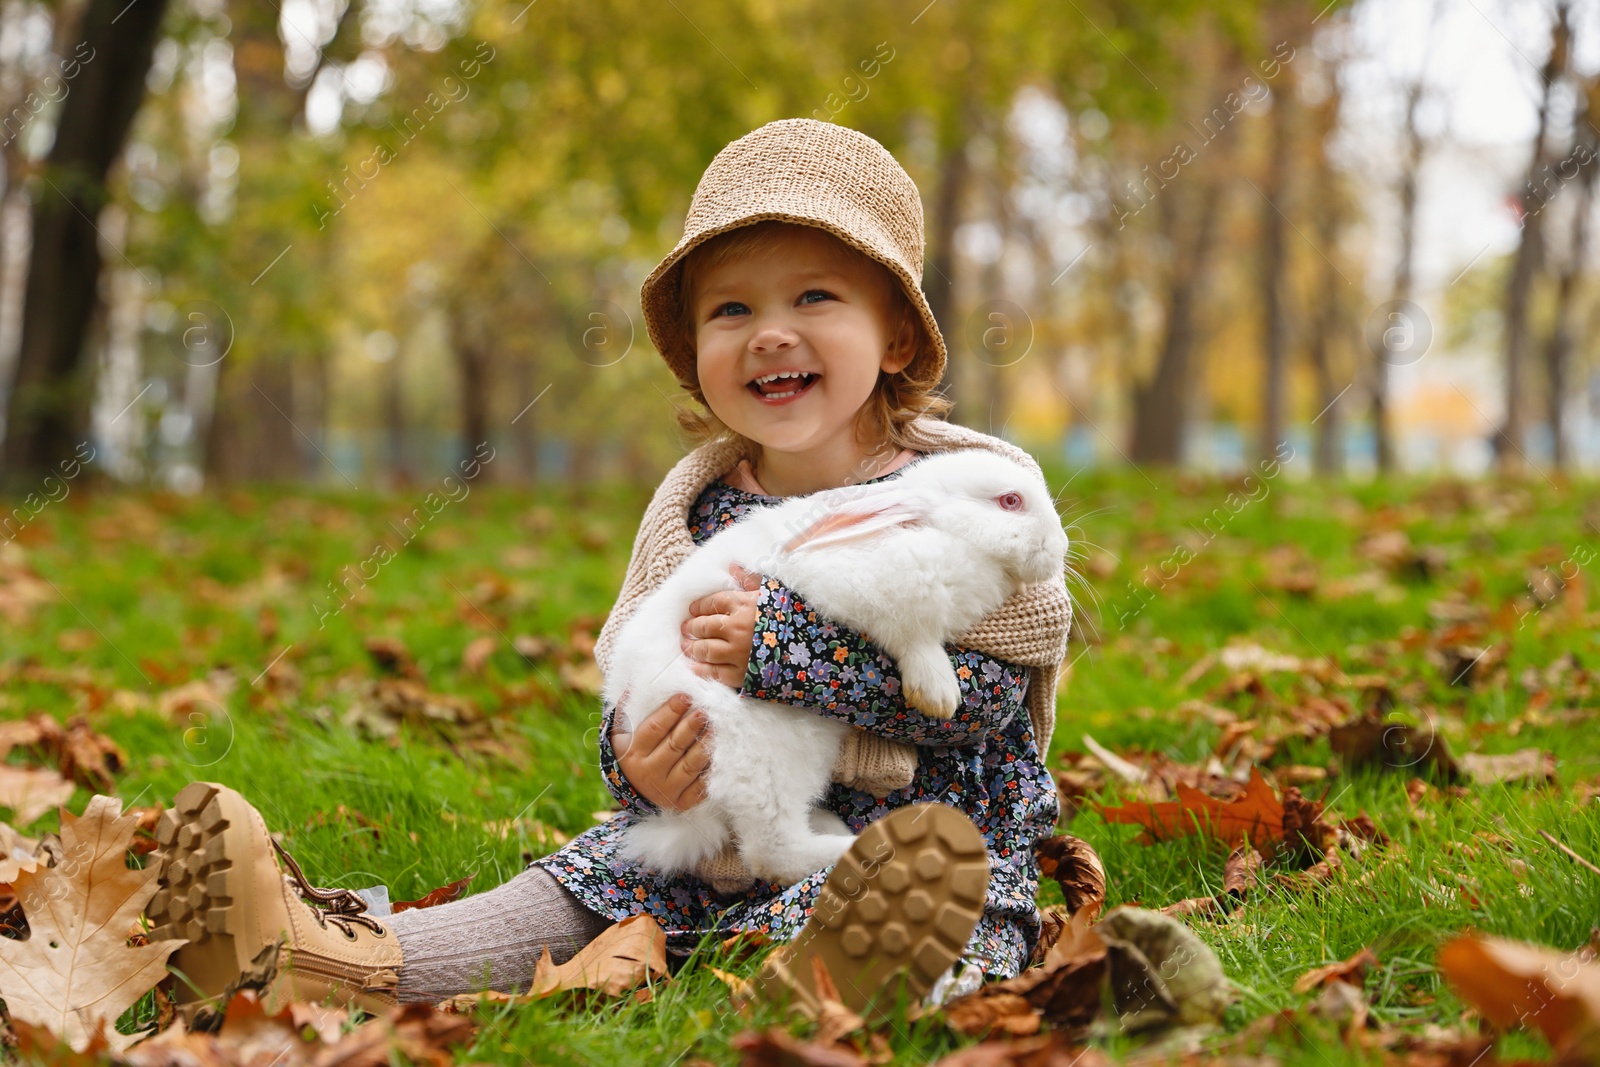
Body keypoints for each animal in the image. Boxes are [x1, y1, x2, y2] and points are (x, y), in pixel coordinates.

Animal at [604, 451, 1068, 883]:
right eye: (1010, 501)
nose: (1060, 546)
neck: (941, 531)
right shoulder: (859, 587)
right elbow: (913, 637)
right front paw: (939, 692)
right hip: (763, 756)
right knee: (773, 852)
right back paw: (863, 847)